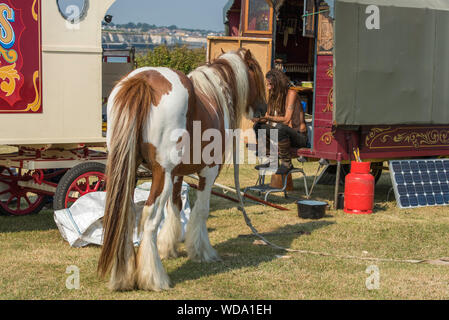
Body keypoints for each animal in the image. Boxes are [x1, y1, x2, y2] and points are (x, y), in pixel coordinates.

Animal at [97, 48, 266, 292]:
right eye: (257, 71)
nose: (263, 109)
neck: (214, 95)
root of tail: (143, 80)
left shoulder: (177, 175)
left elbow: (175, 207)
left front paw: (168, 248)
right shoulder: (208, 172)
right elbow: (201, 211)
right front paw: (202, 251)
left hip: (128, 173)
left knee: (126, 217)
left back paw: (123, 276)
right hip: (161, 176)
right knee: (149, 220)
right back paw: (154, 278)